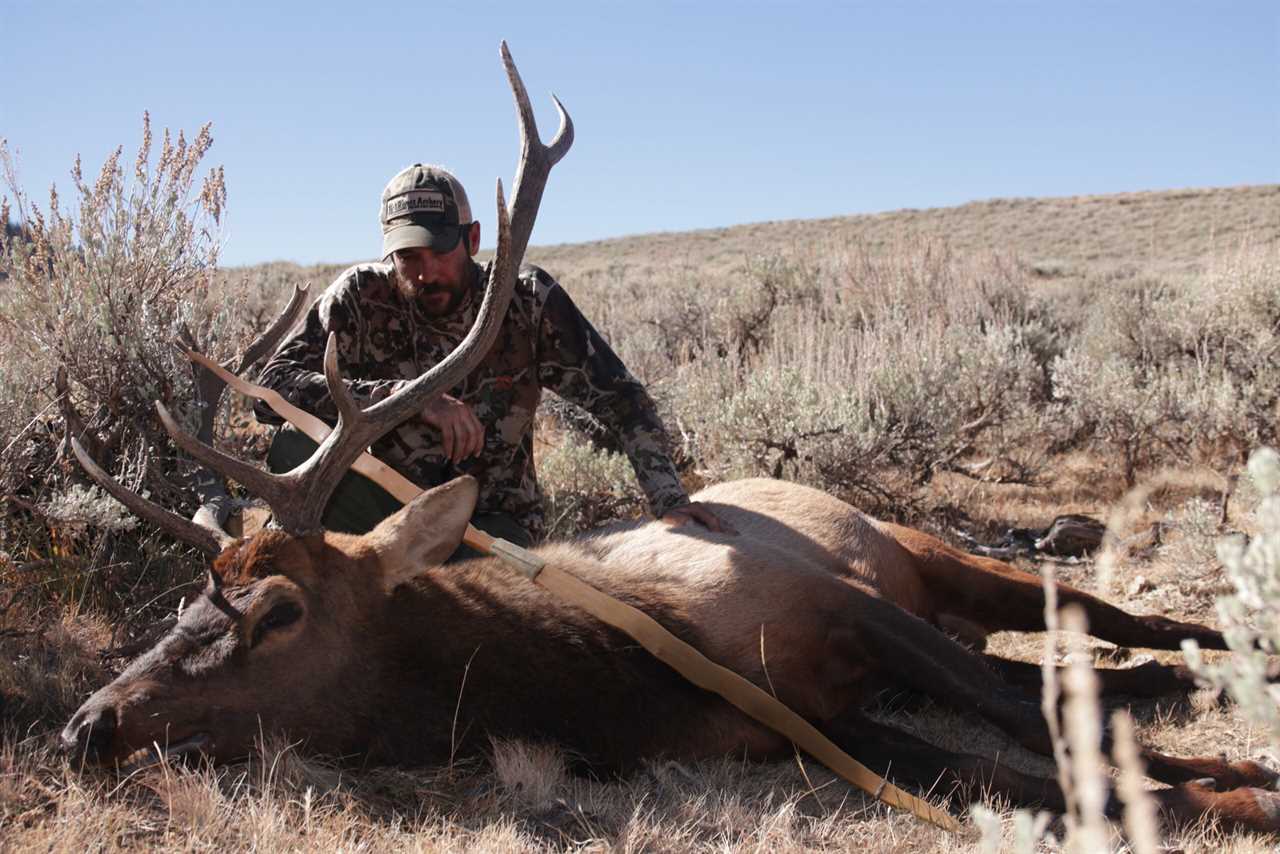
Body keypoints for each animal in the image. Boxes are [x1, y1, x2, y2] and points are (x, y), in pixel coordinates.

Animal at [60, 44, 1279, 835]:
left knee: (1113, 619)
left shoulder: (849, 608)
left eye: (277, 610)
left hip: (933, 557)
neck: (624, 666)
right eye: (186, 600)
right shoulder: (811, 723)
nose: (88, 724)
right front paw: (1210, 783)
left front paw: (1230, 782)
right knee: (1083, 663)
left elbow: (1042, 723)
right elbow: (1027, 765)